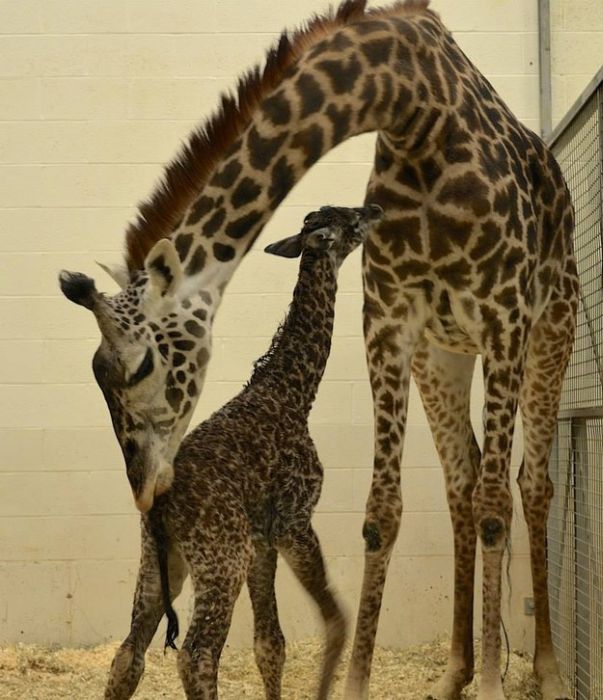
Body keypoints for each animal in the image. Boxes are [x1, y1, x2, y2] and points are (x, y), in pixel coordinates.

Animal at [104, 202, 382, 700]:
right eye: (351, 221)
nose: (376, 208)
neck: (294, 393)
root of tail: (160, 507)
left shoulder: (262, 538)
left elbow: (270, 644)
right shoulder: (294, 520)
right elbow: (335, 618)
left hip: (162, 563)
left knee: (128, 653)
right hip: (221, 561)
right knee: (196, 654)